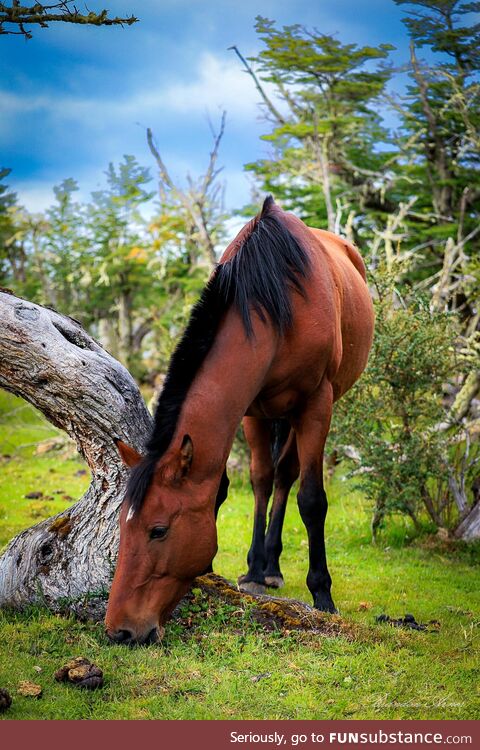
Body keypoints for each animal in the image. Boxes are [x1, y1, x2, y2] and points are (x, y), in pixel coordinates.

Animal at [106, 195, 376, 648]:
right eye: (123, 528)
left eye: (158, 530)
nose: (120, 630)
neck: (277, 306)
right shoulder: (250, 410)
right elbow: (246, 484)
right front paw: (239, 569)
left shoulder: (316, 405)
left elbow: (312, 499)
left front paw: (322, 593)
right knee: (272, 478)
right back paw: (262, 566)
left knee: (288, 477)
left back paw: (275, 567)